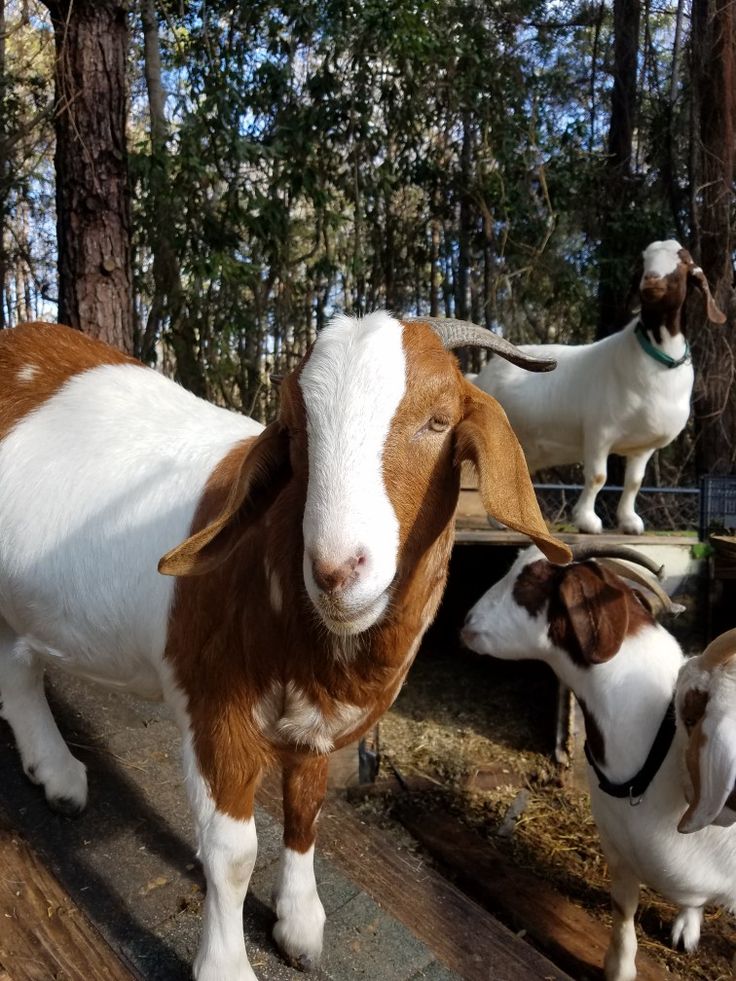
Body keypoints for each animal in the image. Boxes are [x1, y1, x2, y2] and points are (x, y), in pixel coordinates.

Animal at [0, 315, 569, 981]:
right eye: (297, 430)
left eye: (438, 420)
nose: (336, 570)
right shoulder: (212, 709)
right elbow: (233, 852)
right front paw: (224, 965)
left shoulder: (317, 725)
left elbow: (306, 808)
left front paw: (299, 925)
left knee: (16, 672)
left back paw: (58, 776)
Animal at [472, 240, 725, 534]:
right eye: (643, 263)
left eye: (683, 262)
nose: (651, 281)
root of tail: (479, 376)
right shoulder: (600, 432)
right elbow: (597, 477)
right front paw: (587, 521)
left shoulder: (642, 448)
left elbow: (634, 482)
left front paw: (629, 522)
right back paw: (498, 522)